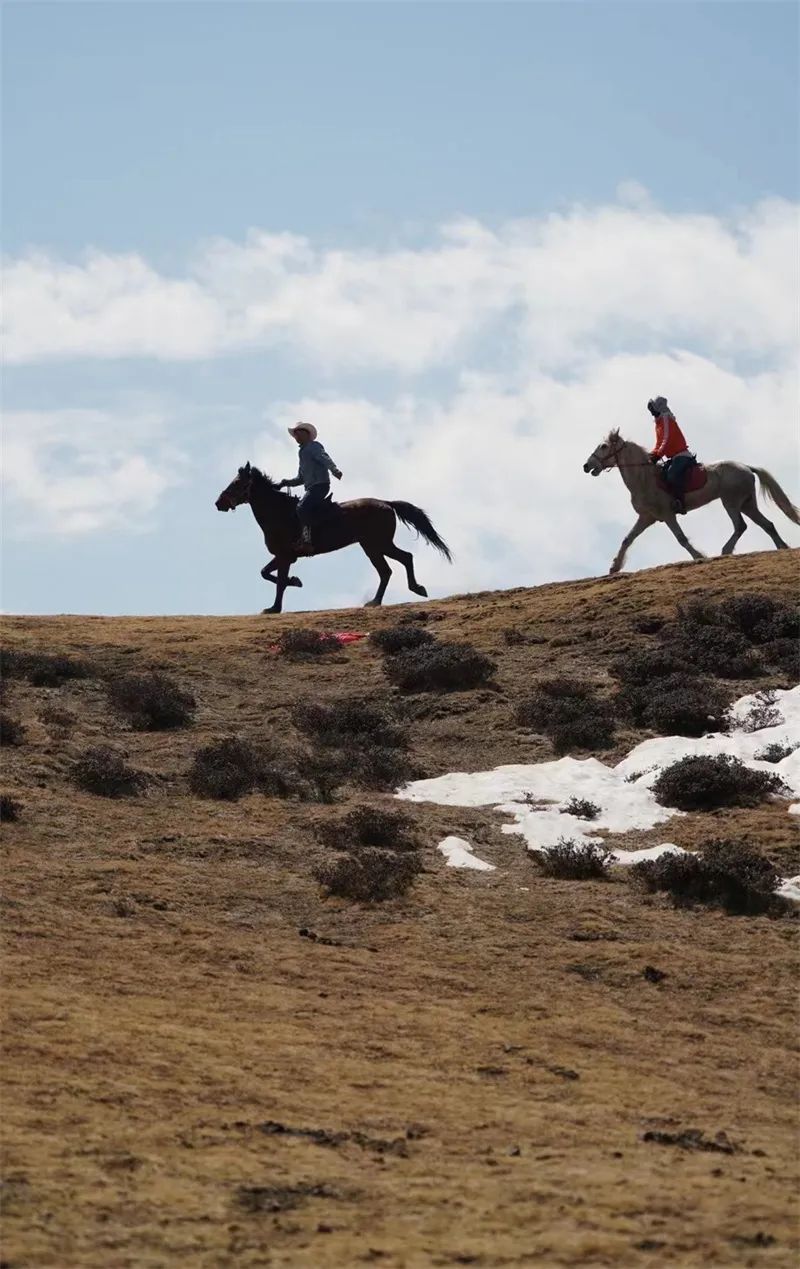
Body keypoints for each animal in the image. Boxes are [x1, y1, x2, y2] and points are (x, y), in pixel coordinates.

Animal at [214, 464, 452, 611]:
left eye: (237, 483)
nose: (218, 503)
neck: (280, 513)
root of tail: (387, 503)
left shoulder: (284, 557)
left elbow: (279, 582)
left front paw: (274, 608)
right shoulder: (285, 557)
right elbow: (266, 573)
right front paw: (295, 581)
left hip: (376, 545)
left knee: (396, 564)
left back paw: (393, 596)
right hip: (374, 546)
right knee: (395, 565)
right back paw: (394, 595)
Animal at [584, 433, 800, 578]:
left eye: (604, 446)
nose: (586, 466)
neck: (644, 478)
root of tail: (746, 467)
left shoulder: (668, 515)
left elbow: (681, 538)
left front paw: (699, 556)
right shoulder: (646, 517)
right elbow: (627, 539)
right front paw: (614, 567)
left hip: (730, 502)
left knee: (740, 526)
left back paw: (726, 551)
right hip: (747, 504)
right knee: (767, 524)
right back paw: (781, 546)